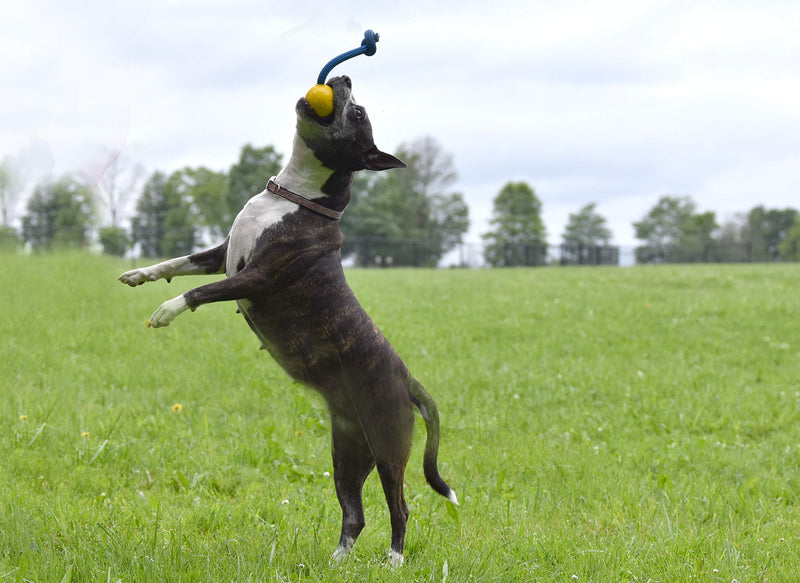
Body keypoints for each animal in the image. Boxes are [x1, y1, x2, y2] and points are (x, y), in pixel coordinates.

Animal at [118, 75, 456, 568]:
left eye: (357, 113)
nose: (344, 78)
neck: (294, 196)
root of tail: (407, 379)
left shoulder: (254, 277)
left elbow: (200, 291)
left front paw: (167, 309)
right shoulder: (223, 255)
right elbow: (178, 262)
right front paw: (140, 274)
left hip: (388, 446)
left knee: (400, 506)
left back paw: (393, 560)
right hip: (348, 451)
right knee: (354, 514)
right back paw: (336, 563)